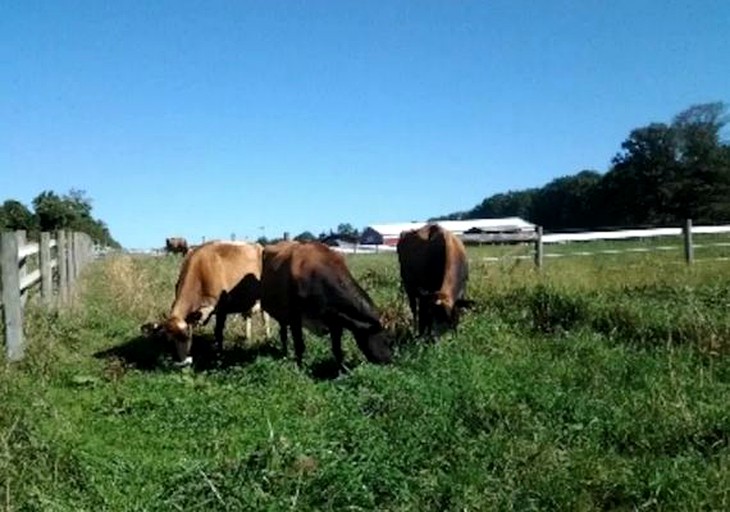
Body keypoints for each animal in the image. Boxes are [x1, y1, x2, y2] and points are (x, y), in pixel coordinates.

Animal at [141, 240, 270, 364]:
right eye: (169, 340)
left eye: (186, 336)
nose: (182, 360)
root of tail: (259, 246)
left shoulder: (222, 308)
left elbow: (218, 332)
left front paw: (219, 355)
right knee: (248, 315)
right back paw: (247, 338)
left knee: (265, 318)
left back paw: (268, 339)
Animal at [258, 240, 390, 368]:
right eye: (387, 340)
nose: (389, 360)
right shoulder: (295, 317)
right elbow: (299, 345)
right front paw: (300, 367)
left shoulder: (336, 319)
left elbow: (337, 349)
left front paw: (343, 370)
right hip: (281, 314)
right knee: (283, 334)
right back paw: (285, 354)